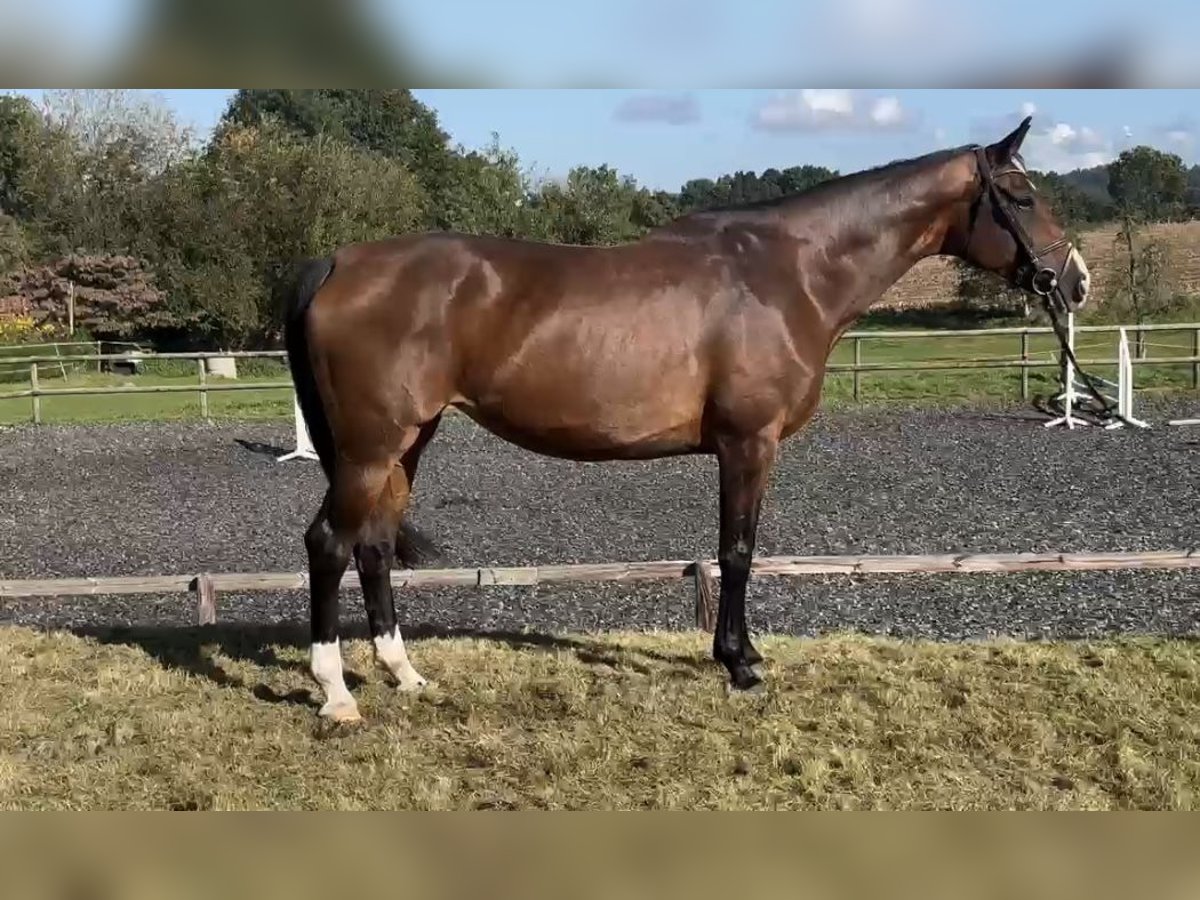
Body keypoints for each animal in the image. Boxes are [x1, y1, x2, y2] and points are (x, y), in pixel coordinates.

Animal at [285, 116, 1094, 724]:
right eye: (1021, 197)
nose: (1077, 281)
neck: (788, 273)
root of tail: (338, 260)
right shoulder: (747, 443)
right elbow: (736, 551)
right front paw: (739, 664)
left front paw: (745, 654)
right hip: (370, 447)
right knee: (329, 544)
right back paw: (336, 695)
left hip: (406, 443)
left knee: (373, 547)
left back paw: (404, 674)